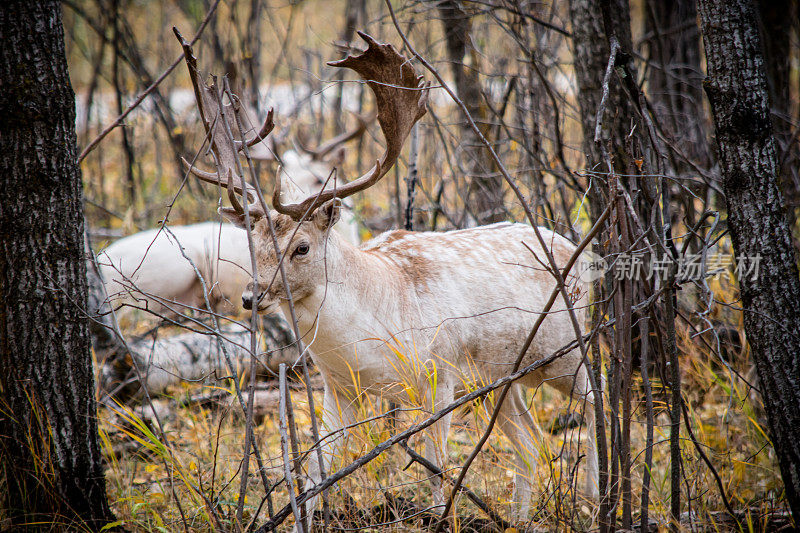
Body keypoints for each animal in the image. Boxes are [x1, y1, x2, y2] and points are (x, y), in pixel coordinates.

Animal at [184, 33, 596, 524]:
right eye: (251, 243)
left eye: (302, 247)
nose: (251, 297)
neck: (372, 324)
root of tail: (580, 252)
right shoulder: (338, 385)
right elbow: (318, 466)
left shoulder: (440, 371)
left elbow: (437, 465)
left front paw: (439, 518)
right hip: (501, 379)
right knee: (532, 442)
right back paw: (519, 519)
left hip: (565, 349)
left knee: (598, 400)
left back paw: (596, 495)